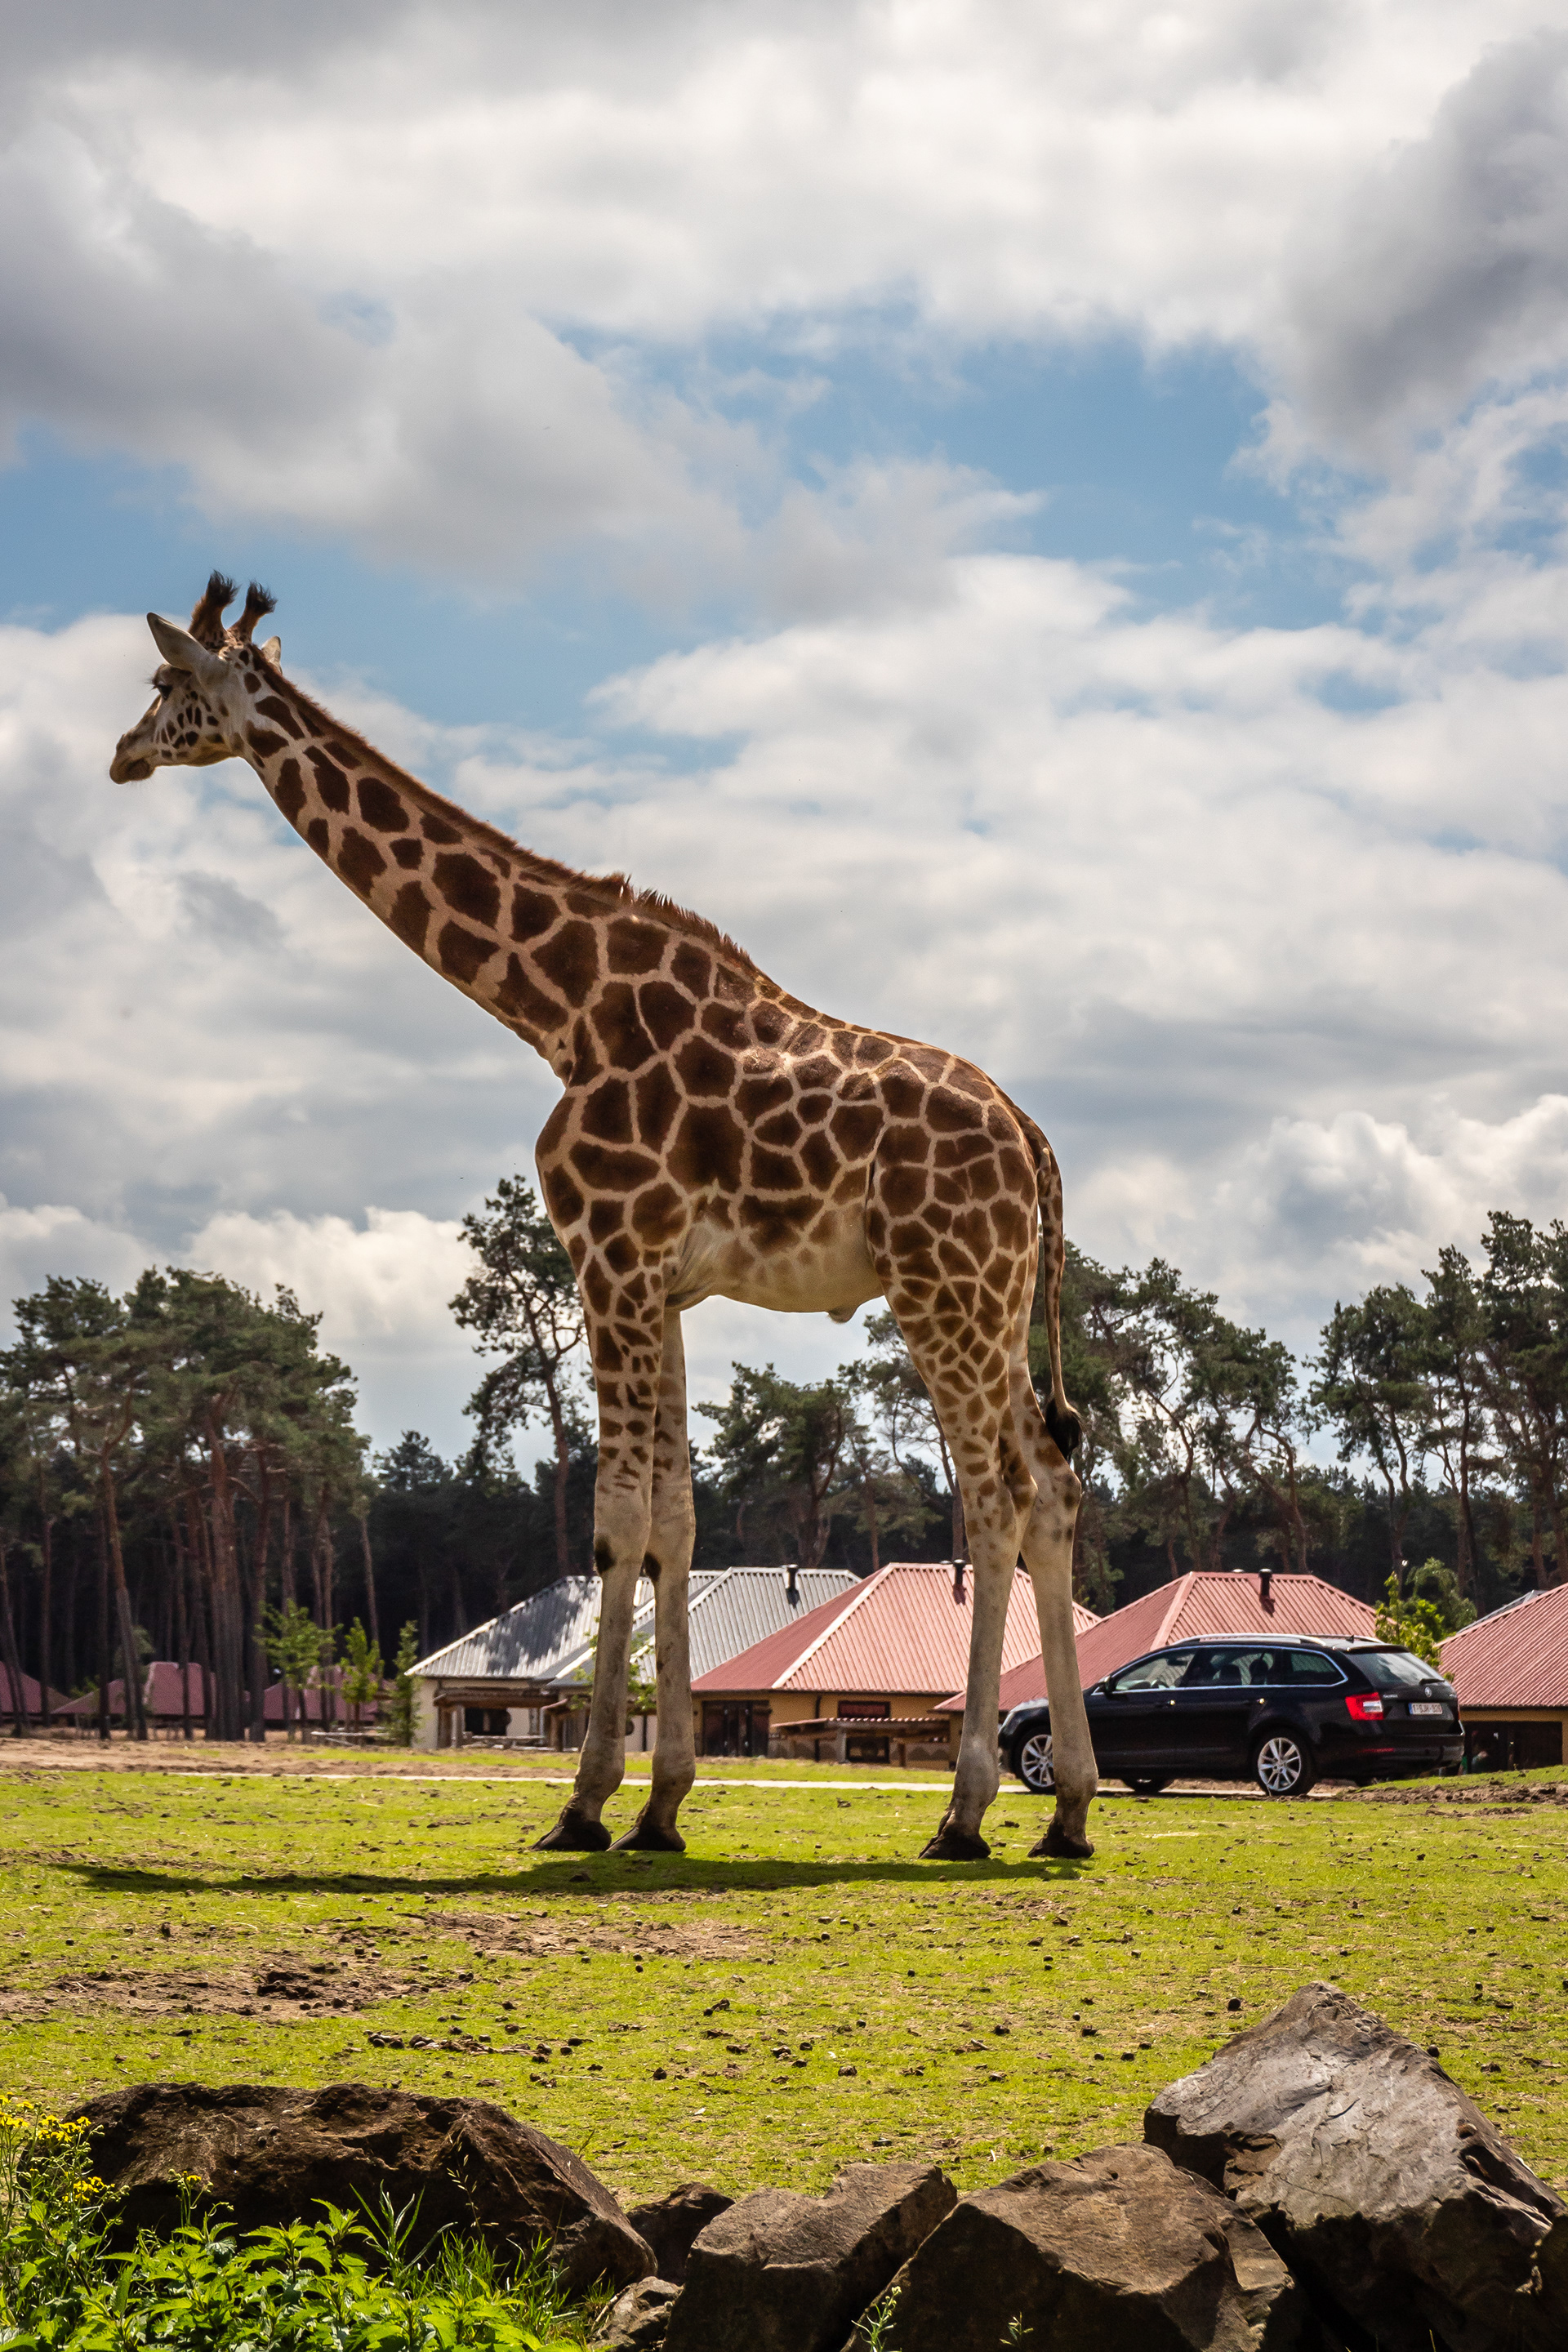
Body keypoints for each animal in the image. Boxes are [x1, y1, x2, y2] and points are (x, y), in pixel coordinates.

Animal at [110, 574, 1098, 1862]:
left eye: (166, 684)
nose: (121, 755)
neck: (560, 1009)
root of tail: (1031, 1139)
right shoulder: (663, 1283)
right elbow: (677, 1516)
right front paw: (663, 1805)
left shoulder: (607, 1257)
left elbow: (616, 1519)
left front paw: (585, 1805)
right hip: (994, 1301)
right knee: (1055, 1485)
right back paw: (1068, 1812)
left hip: (942, 1292)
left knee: (995, 1500)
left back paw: (968, 1812)